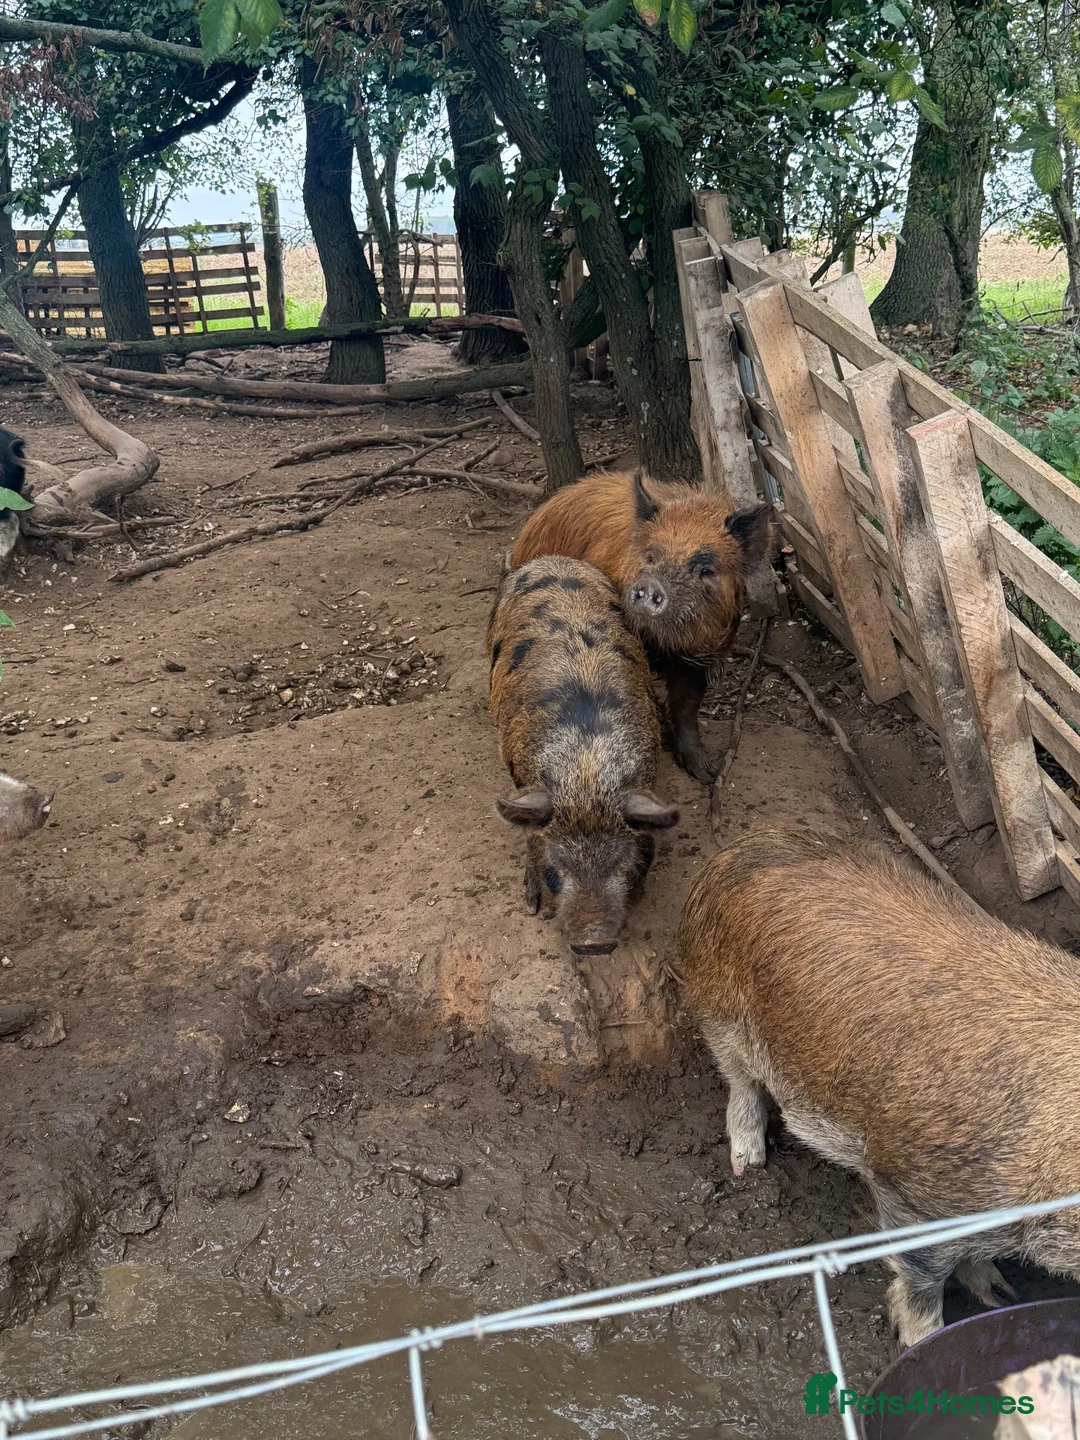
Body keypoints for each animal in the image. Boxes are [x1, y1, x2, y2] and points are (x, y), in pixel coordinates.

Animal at [488, 554, 679, 955]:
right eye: (558, 867)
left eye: (622, 864)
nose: (595, 941)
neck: (587, 768)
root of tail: (552, 559)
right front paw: (531, 905)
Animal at [510, 470, 772, 785]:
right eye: (651, 557)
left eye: (706, 570)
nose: (650, 584)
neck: (661, 647)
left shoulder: (704, 655)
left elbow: (687, 707)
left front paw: (705, 773)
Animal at [678, 824, 1080, 1350]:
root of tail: (737, 850)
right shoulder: (908, 1189)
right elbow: (922, 1277)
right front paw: (918, 1340)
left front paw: (1000, 1295)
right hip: (719, 1009)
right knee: (740, 1080)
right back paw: (749, 1164)